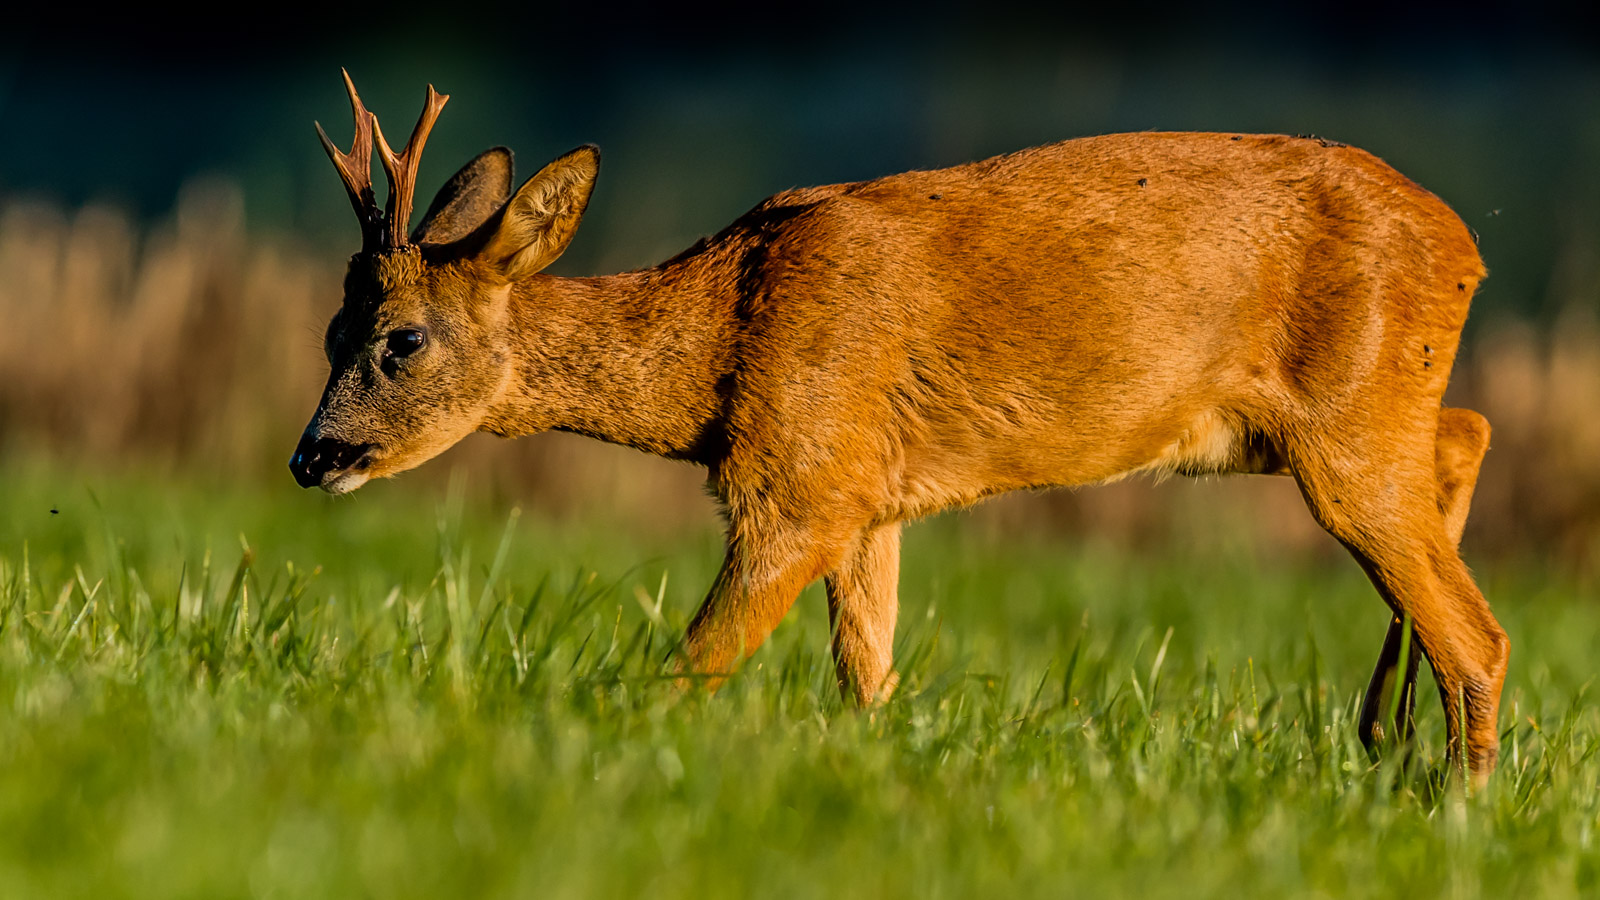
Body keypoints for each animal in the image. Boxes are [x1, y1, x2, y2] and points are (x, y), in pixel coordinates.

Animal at [294, 73, 1504, 781]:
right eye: (328, 329)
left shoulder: (798, 483)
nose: (312, 458)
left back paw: (1454, 798)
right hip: (1327, 421)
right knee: (1467, 435)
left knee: (1479, 630)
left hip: (1346, 426)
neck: (725, 343)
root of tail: (1465, 248)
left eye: (401, 340)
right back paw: (1385, 730)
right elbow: (864, 681)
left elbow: (695, 662)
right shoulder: (866, 500)